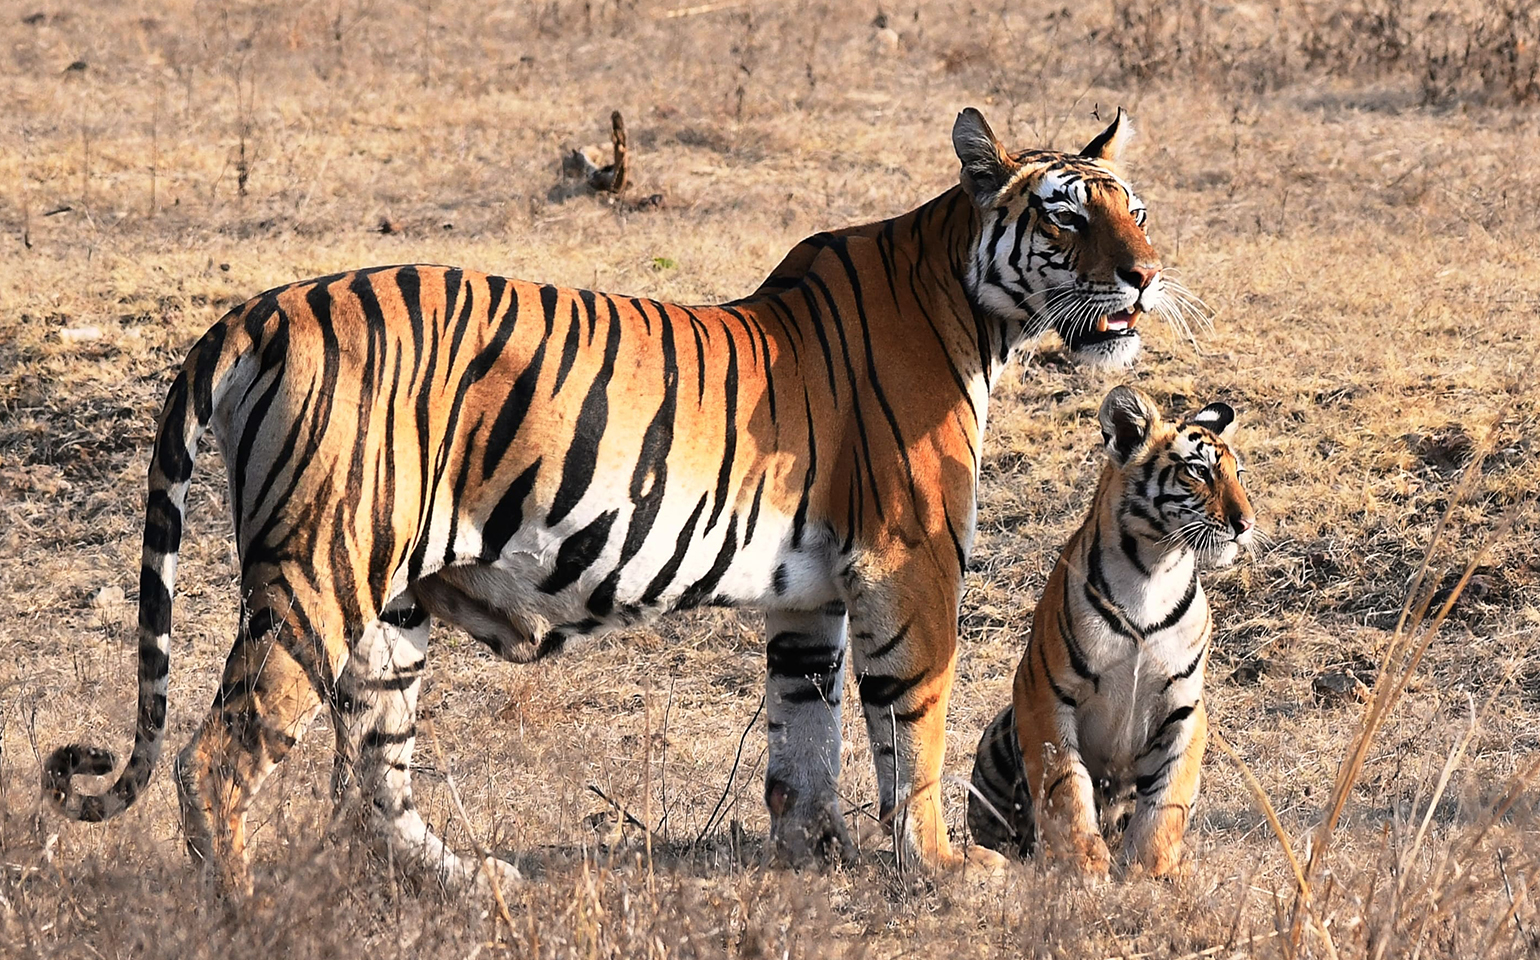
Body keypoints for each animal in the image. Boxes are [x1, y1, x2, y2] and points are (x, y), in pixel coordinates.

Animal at [42, 106, 1192, 893]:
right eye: (1068, 219)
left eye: (1136, 212)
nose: (1145, 276)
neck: (969, 303)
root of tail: (264, 309)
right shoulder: (912, 566)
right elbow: (914, 725)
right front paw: (944, 867)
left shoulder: (809, 597)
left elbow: (803, 739)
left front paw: (811, 859)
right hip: (318, 573)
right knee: (218, 758)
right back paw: (240, 904)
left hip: (390, 607)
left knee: (373, 773)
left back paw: (469, 884)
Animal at [967, 385, 1255, 878]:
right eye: (1199, 472)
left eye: (1238, 474)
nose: (1246, 524)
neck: (1155, 571)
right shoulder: (1044, 692)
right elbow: (1066, 784)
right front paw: (1082, 864)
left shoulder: (1185, 706)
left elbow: (1169, 794)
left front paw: (1150, 867)